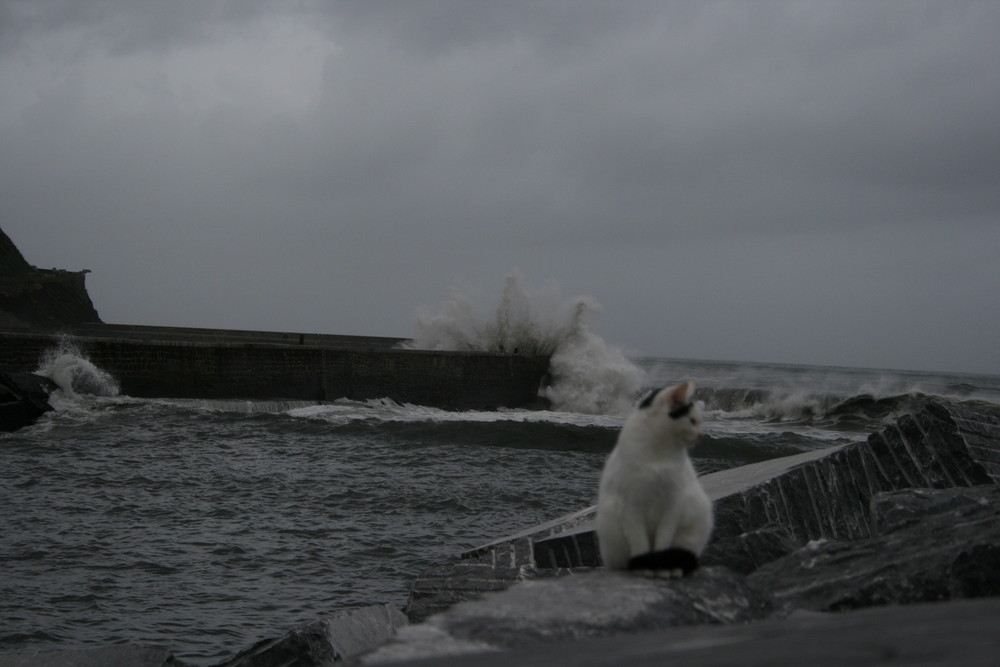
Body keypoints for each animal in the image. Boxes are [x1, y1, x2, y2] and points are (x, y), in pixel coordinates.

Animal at [592, 384, 712, 576]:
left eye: (699, 421)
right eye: (693, 421)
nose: (701, 435)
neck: (659, 453)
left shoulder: (672, 505)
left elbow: (663, 542)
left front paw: (662, 571)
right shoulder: (631, 507)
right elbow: (640, 543)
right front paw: (645, 569)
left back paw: (674, 569)